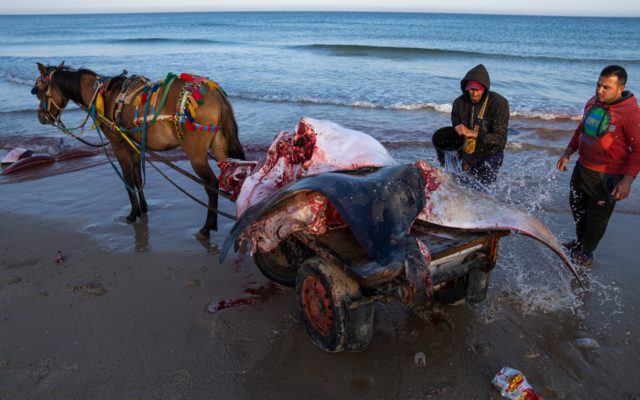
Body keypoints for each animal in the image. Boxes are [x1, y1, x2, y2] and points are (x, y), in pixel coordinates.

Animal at [33, 61, 246, 239]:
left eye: (39, 91)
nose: (41, 117)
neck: (102, 96)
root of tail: (214, 92)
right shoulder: (134, 147)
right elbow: (137, 177)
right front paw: (143, 208)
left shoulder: (118, 146)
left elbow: (128, 178)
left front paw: (133, 213)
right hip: (219, 146)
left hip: (197, 155)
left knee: (212, 185)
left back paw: (207, 226)